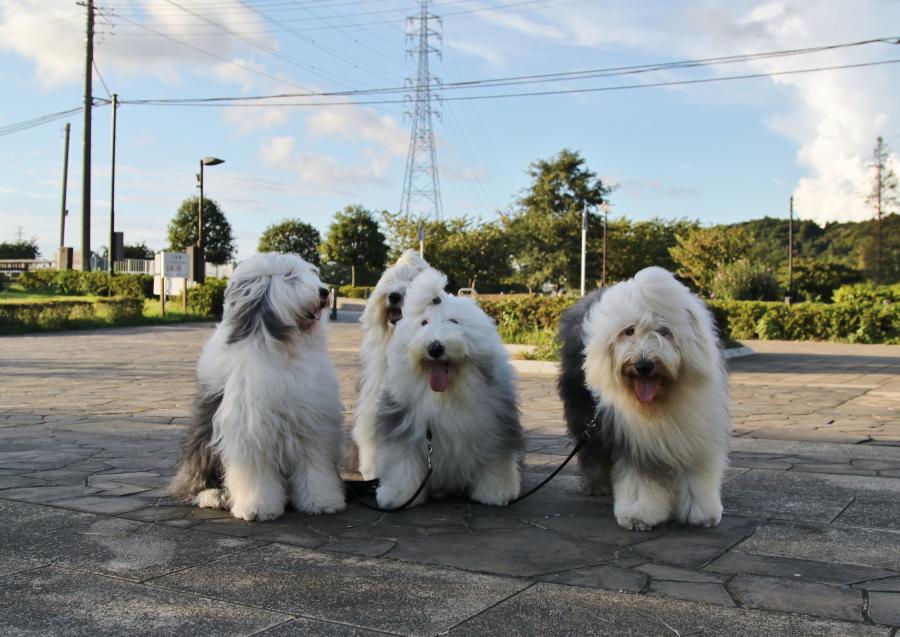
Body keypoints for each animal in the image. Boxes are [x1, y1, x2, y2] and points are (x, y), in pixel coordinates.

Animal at [168, 253, 346, 521]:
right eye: (289, 276)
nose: (324, 292)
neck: (284, 348)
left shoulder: (311, 425)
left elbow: (315, 467)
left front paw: (321, 501)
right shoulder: (250, 428)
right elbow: (254, 471)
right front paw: (258, 507)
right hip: (202, 450)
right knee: (196, 482)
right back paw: (214, 496)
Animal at [373, 268, 524, 509]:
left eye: (453, 321)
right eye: (423, 323)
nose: (435, 347)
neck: (447, 394)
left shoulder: (494, 427)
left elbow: (495, 459)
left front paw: (496, 493)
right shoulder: (402, 426)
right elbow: (401, 462)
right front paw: (398, 495)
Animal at [558, 266, 730, 530]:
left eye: (664, 331)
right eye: (629, 331)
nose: (643, 365)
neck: (659, 402)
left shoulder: (696, 433)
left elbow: (697, 475)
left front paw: (702, 513)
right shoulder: (633, 438)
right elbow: (638, 479)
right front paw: (638, 515)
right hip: (583, 410)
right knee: (592, 450)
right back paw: (597, 485)